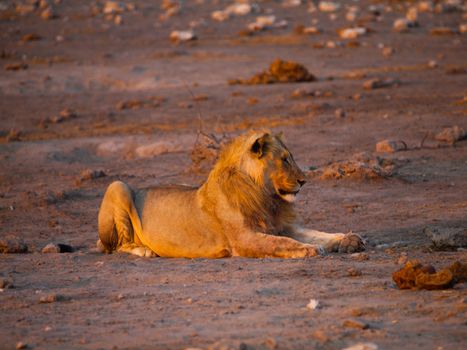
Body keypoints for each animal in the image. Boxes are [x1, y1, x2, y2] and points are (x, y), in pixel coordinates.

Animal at [98, 131, 366, 258]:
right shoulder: (244, 238)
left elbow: (316, 233)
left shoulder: (280, 225)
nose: (304, 181)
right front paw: (309, 250)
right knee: (115, 246)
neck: (266, 196)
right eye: (285, 159)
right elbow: (280, 242)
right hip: (118, 185)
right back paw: (144, 250)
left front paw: (349, 239)